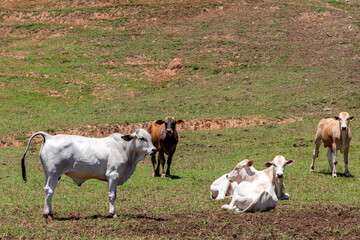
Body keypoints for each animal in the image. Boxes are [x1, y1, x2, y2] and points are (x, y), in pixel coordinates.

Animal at [21, 129, 156, 219]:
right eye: (142, 138)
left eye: (150, 137)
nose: (154, 149)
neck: (124, 148)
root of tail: (49, 137)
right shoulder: (113, 175)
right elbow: (112, 195)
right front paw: (113, 213)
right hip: (53, 174)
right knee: (49, 191)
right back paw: (48, 214)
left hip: (47, 174)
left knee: (46, 190)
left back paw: (49, 213)